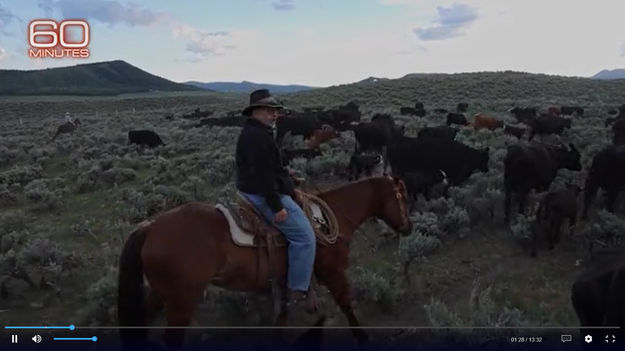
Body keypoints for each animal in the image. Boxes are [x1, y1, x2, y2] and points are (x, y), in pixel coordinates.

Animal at [117, 177, 412, 348]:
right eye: (403, 197)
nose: (408, 227)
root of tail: (150, 227)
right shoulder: (333, 271)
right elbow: (347, 304)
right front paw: (363, 338)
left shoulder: (282, 282)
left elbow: (281, 318)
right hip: (182, 300)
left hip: (160, 293)